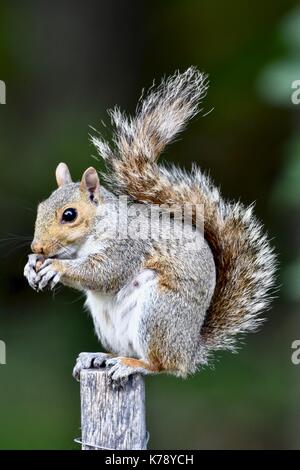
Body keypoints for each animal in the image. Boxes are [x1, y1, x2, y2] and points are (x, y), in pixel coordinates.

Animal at [23, 69, 276, 386]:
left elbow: (104, 272)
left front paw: (56, 267)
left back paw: (132, 364)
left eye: (70, 215)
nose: (37, 246)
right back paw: (100, 357)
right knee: (127, 350)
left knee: (161, 364)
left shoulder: (127, 245)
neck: (99, 227)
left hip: (158, 312)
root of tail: (190, 350)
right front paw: (32, 265)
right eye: (40, 207)